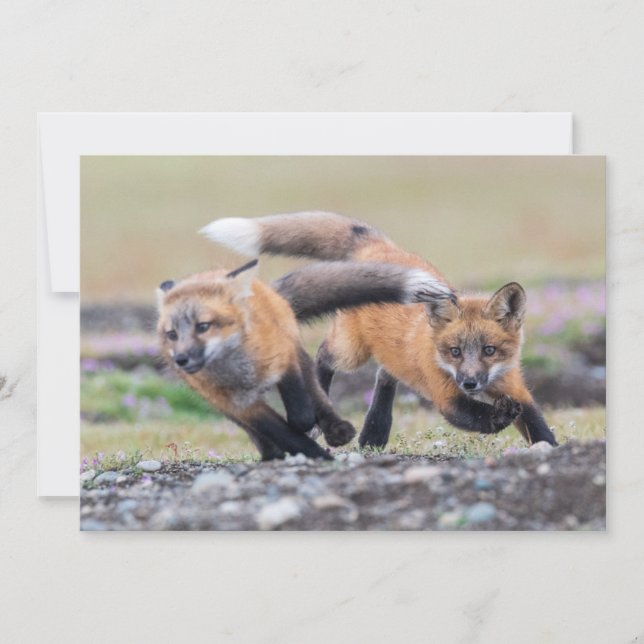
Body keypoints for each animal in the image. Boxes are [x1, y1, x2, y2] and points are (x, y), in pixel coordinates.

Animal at [156, 257, 454, 461]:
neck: (241, 371)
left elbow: (300, 410)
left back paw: (336, 429)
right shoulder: (239, 405)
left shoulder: (285, 358)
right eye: (172, 334)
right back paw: (272, 454)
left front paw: (311, 431)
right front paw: (310, 453)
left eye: (203, 326)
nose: (181, 359)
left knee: (318, 388)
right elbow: (279, 431)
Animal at [201, 211, 558, 449]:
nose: (470, 382)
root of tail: (380, 248)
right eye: (454, 351)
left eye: (489, 350)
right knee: (324, 357)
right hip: (350, 352)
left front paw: (551, 449)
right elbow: (476, 417)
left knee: (386, 375)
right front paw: (499, 418)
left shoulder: (514, 385)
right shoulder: (446, 394)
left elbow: (536, 423)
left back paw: (374, 433)